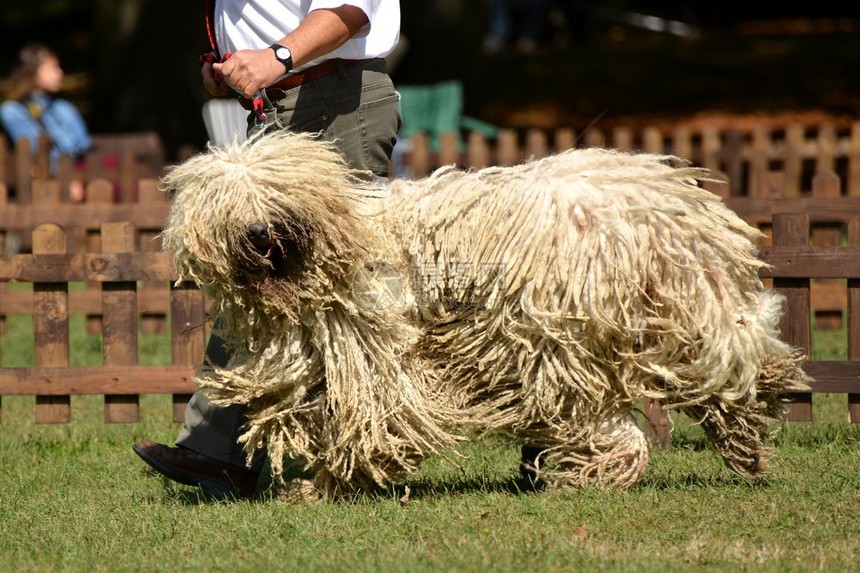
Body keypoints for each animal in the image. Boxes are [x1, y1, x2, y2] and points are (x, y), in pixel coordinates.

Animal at [158, 131, 808, 500]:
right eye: (227, 203)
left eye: (273, 190)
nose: (259, 232)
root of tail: (669, 205)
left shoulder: (378, 356)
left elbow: (371, 421)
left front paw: (327, 484)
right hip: (671, 314)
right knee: (728, 369)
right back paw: (745, 435)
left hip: (563, 333)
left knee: (602, 411)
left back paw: (599, 468)